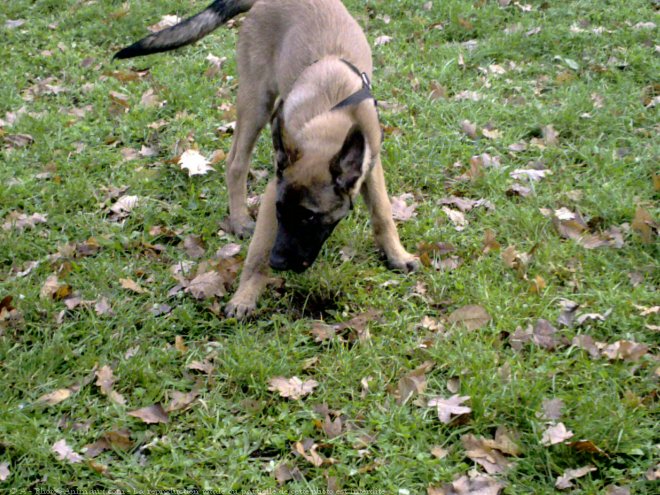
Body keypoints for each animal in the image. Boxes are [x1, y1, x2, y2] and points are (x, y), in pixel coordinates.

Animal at [114, 0, 418, 318]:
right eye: (280, 211)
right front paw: (246, 296)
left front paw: (397, 255)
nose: (278, 263)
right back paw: (238, 220)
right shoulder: (275, 185)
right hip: (256, 101)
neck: (333, 114)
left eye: (310, 217)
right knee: (235, 161)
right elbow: (258, 250)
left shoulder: (371, 166)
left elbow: (382, 212)